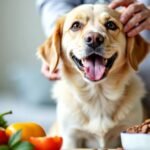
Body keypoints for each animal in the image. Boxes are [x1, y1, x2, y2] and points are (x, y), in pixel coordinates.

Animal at [37, 4, 149, 149]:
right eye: (76, 25)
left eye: (111, 25)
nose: (94, 39)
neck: (98, 96)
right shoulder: (71, 137)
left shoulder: (126, 128)